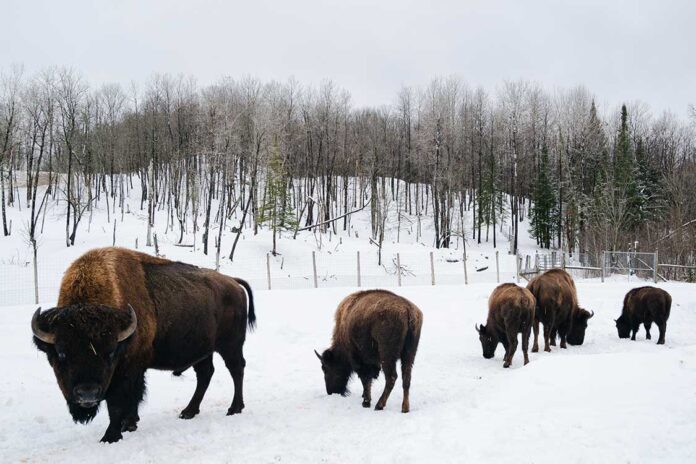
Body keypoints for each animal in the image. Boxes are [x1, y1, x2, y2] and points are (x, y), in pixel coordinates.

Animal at [31, 248, 256, 444]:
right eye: (61, 353)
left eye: (110, 352)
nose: (87, 394)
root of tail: (233, 282)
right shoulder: (135, 370)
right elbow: (133, 398)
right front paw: (129, 424)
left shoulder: (127, 370)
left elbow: (118, 402)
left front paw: (111, 436)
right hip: (203, 351)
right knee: (205, 374)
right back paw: (188, 412)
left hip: (231, 345)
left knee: (236, 369)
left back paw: (234, 408)